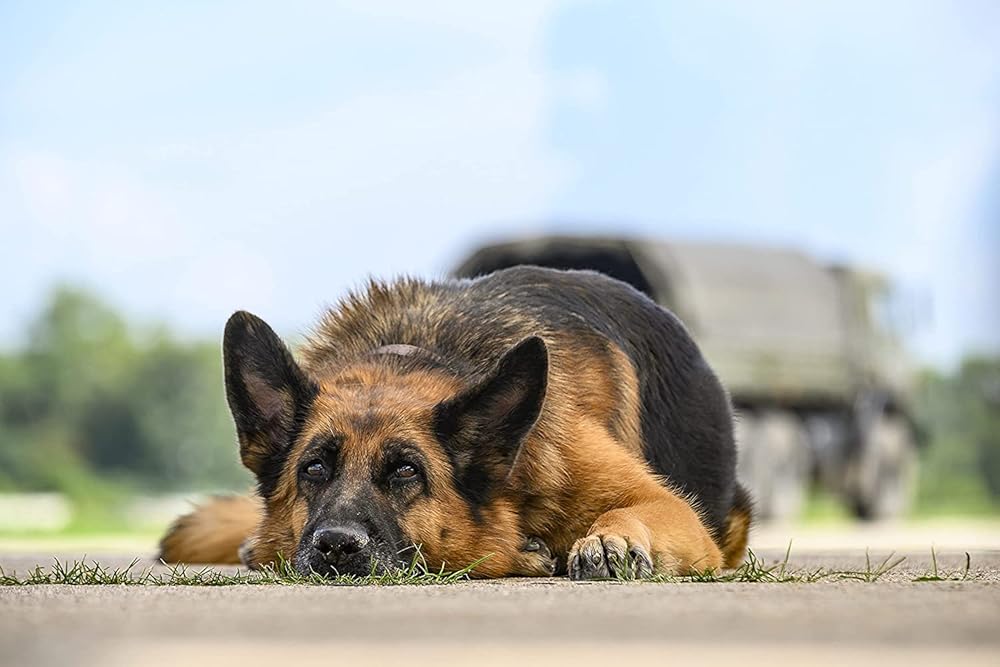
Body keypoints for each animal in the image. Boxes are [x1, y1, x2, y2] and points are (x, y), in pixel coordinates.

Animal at [160, 266, 752, 580]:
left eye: (406, 472)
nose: (335, 547)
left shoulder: (675, 513)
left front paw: (611, 540)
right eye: (313, 469)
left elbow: (637, 509)